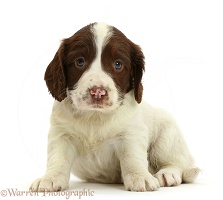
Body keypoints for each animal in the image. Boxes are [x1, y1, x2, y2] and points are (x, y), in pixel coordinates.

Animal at [29, 21, 199, 192]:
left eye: (118, 64)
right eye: (80, 61)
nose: (98, 92)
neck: (94, 116)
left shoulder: (131, 133)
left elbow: (132, 156)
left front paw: (140, 177)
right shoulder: (61, 133)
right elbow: (58, 157)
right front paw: (50, 178)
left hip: (167, 135)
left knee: (176, 162)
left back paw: (167, 174)